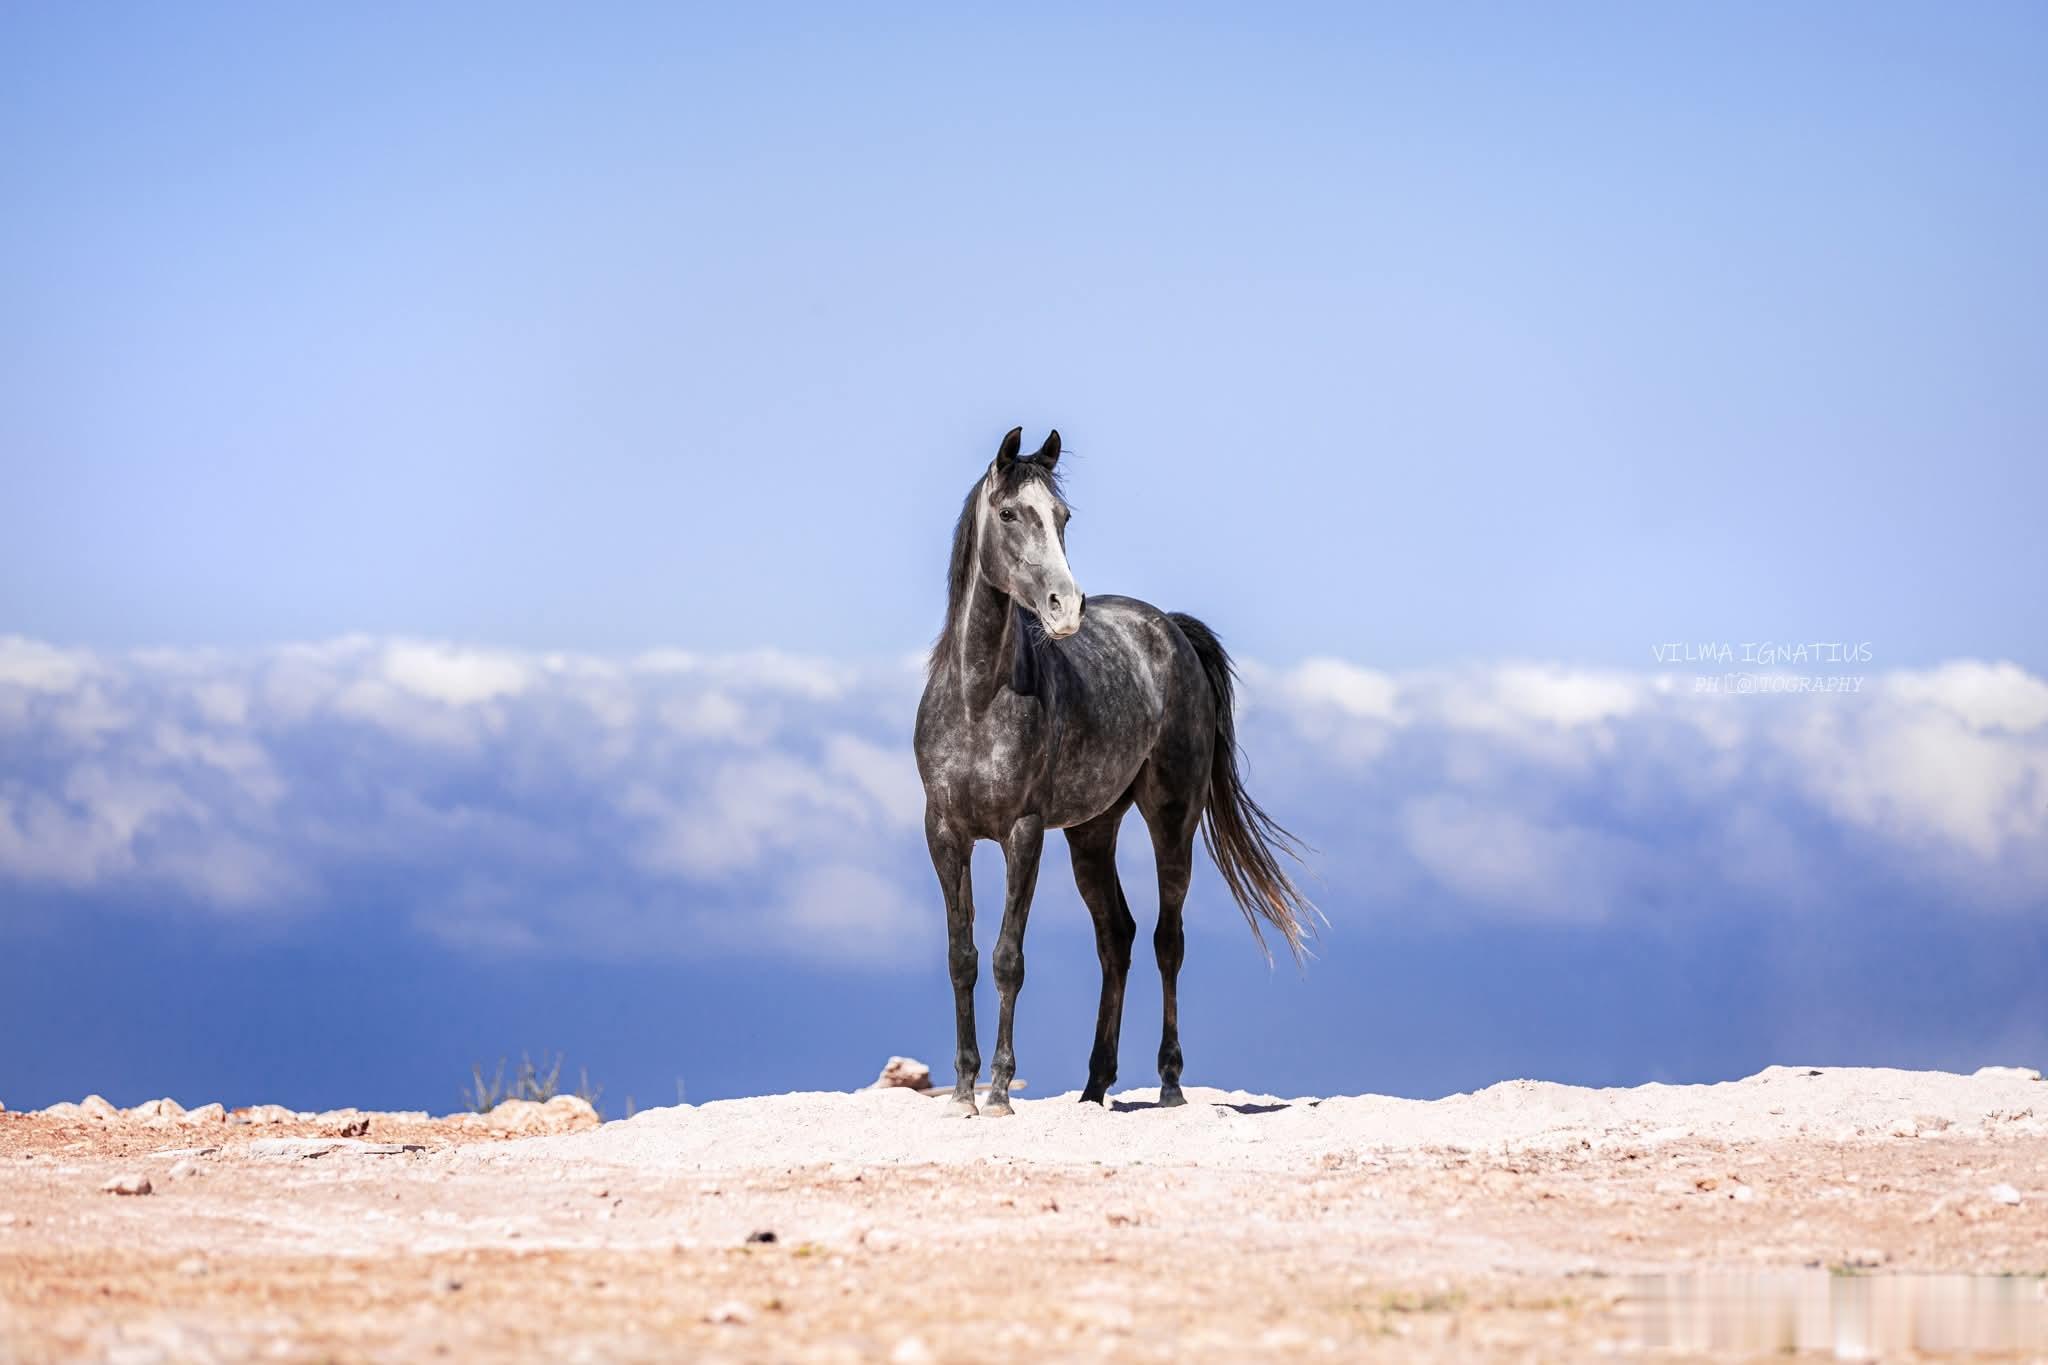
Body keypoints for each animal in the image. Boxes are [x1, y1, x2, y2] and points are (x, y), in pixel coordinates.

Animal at [913, 426, 1317, 1117]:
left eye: (1063, 516)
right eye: (1008, 513)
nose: (1065, 606)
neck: (976, 698)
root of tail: (1169, 630)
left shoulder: (1023, 833)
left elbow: (1008, 958)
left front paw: (1000, 1091)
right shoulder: (945, 833)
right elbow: (961, 956)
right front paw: (963, 1091)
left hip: (1171, 820)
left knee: (1165, 940)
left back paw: (1170, 1084)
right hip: (1091, 833)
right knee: (1117, 938)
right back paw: (1094, 1086)